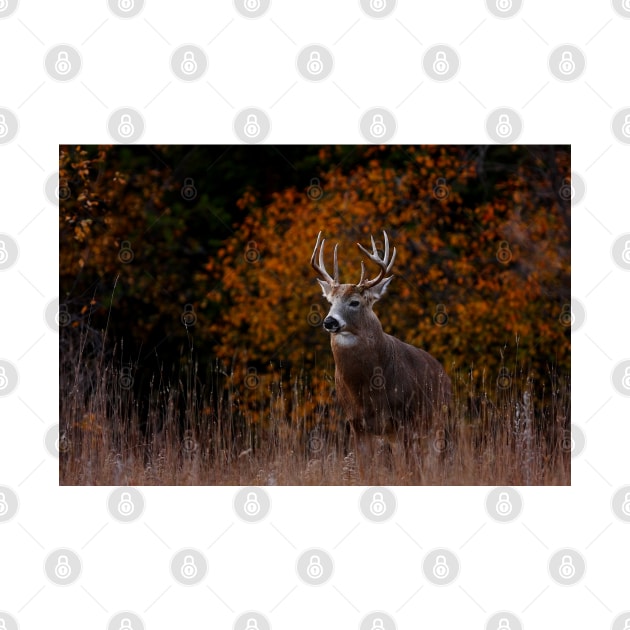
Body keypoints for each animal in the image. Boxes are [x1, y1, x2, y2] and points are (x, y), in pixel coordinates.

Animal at [312, 231, 454, 464]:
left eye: (354, 302)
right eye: (330, 301)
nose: (329, 321)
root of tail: (444, 373)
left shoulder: (404, 418)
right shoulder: (356, 423)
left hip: (437, 419)